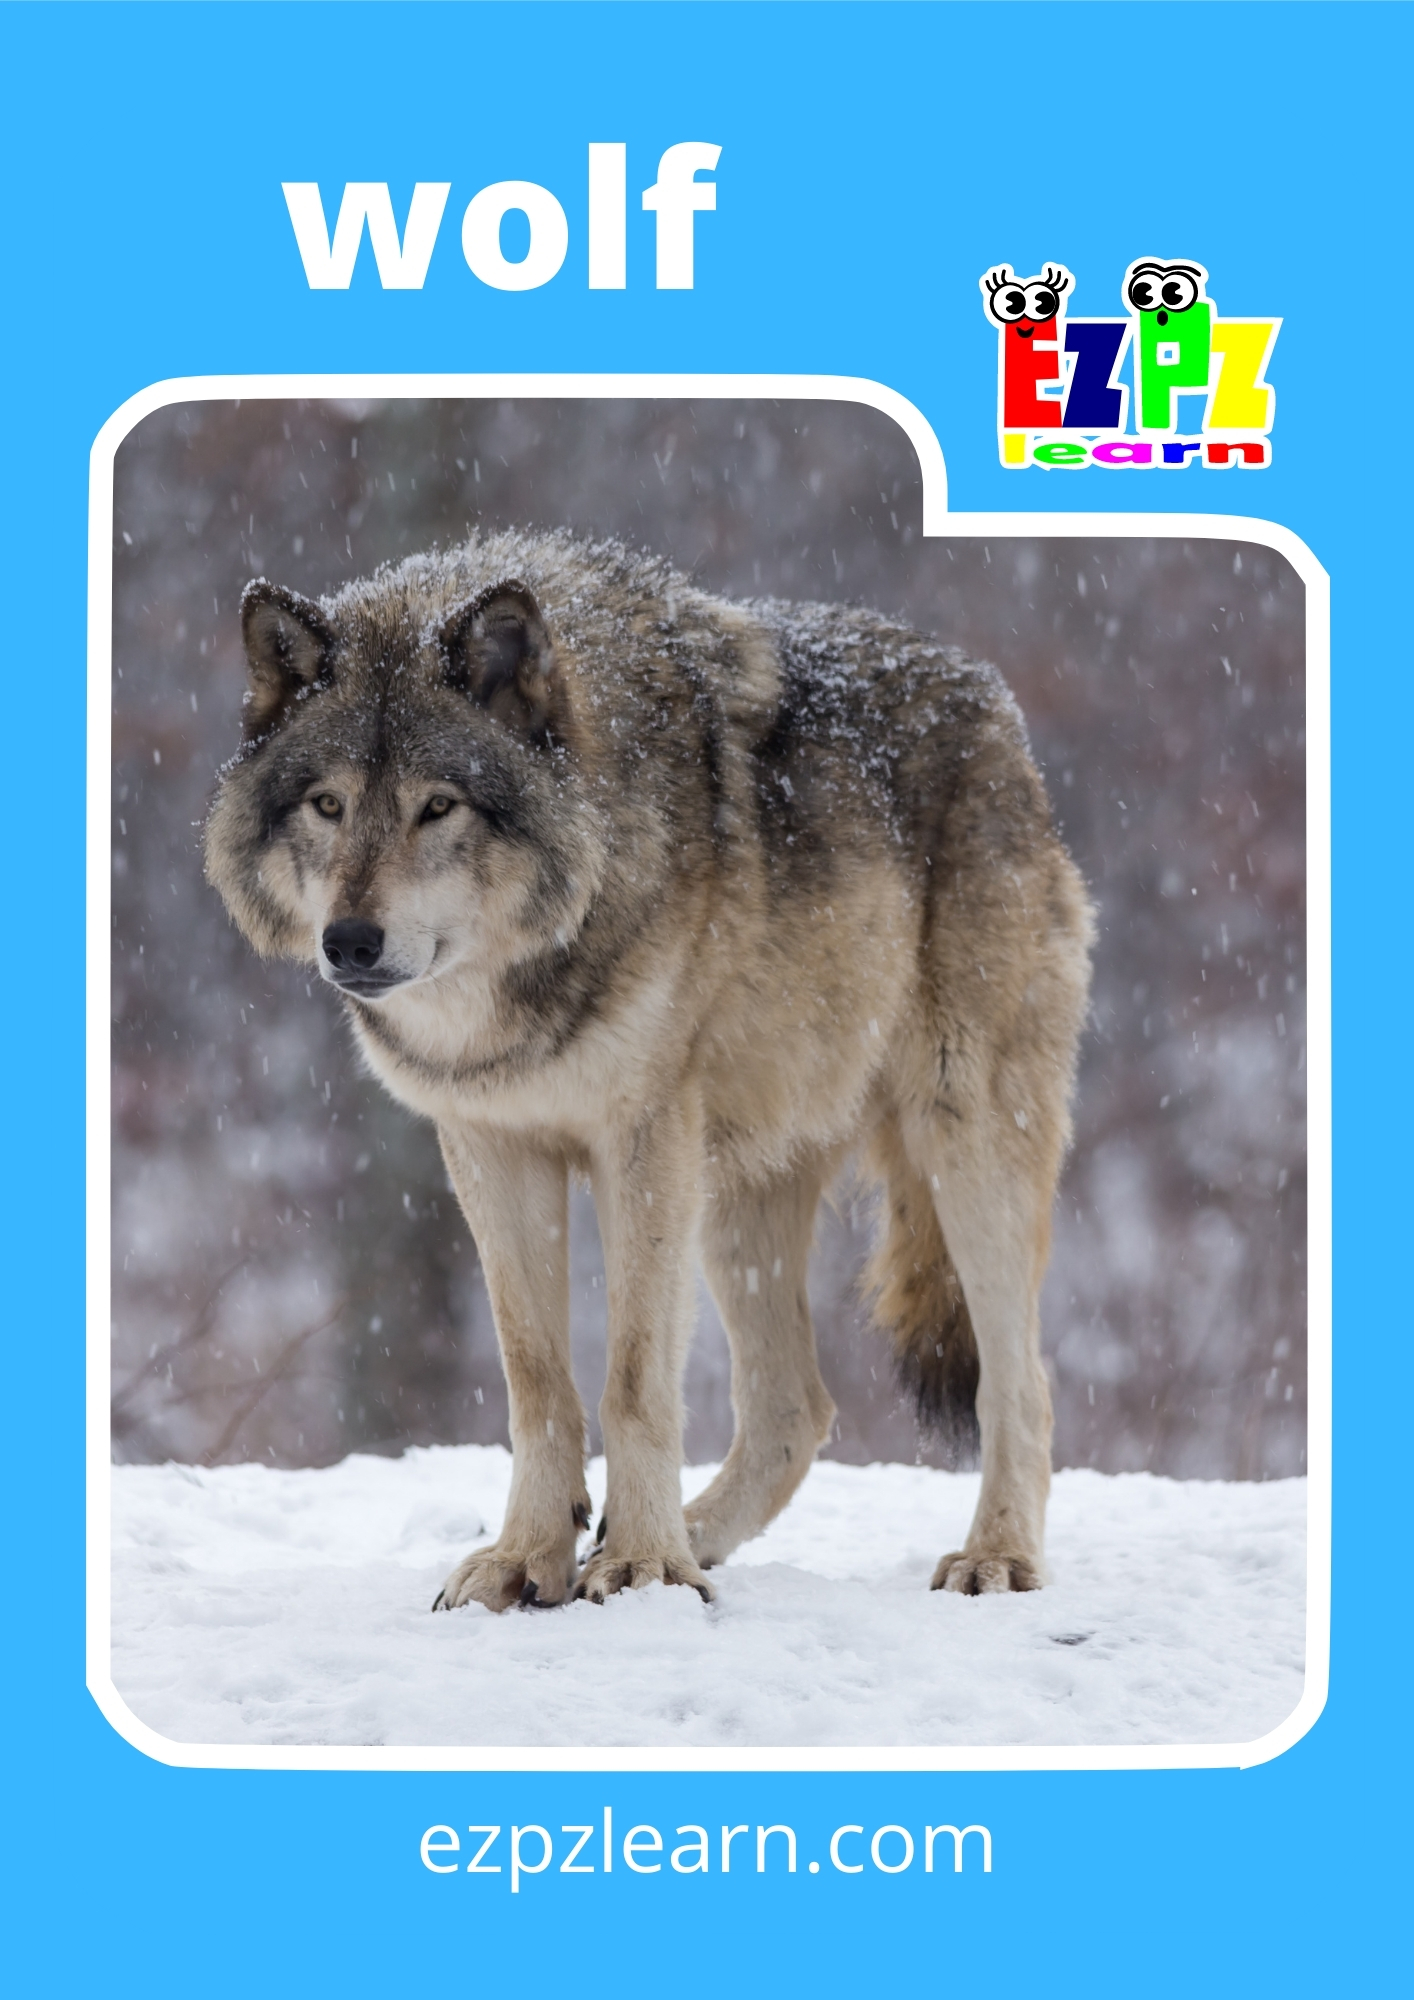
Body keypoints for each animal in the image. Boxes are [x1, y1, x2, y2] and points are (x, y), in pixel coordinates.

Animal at [205, 527, 1092, 1610]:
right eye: (327, 804)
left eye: (437, 806)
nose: (350, 942)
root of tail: (995, 707)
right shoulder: (491, 1145)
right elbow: (537, 1380)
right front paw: (531, 1559)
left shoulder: (641, 1141)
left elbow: (631, 1378)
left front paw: (640, 1568)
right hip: (738, 1196)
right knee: (794, 1407)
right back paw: (694, 1534)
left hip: (961, 1142)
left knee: (1021, 1383)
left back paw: (993, 1555)